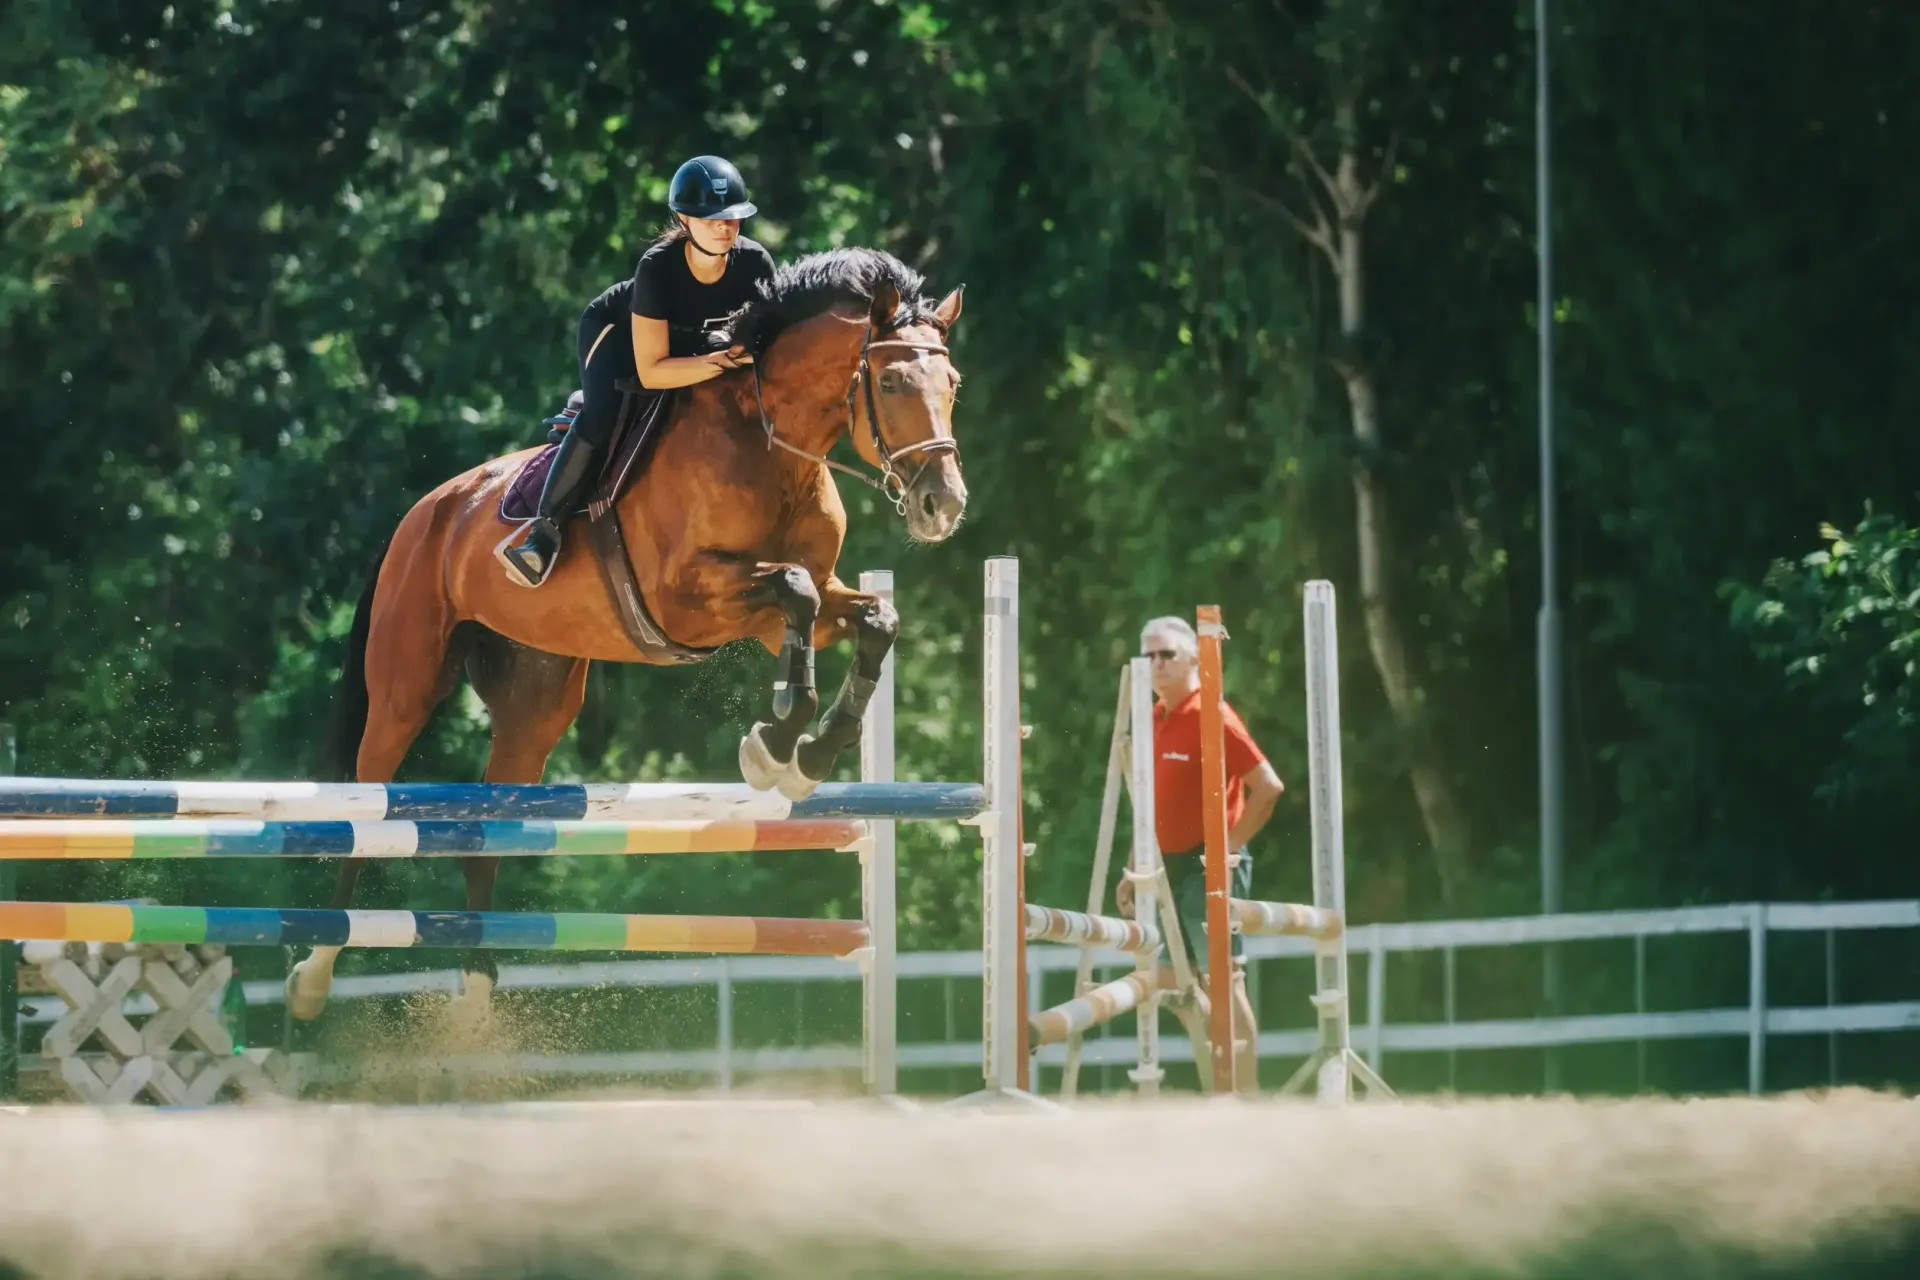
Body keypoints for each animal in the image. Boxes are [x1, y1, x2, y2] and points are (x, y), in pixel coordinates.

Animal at [284, 247, 969, 1023]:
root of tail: (422, 513)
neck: (770, 445)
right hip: (405, 684)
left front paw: (810, 753)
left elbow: (871, 618)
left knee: (488, 826)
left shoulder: (798, 612)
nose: (943, 505)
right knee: (367, 810)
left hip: (537, 704)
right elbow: (791, 585)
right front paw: (777, 743)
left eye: (952, 384)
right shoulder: (689, 598)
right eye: (889, 380)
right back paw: (314, 975)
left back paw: (479, 989)